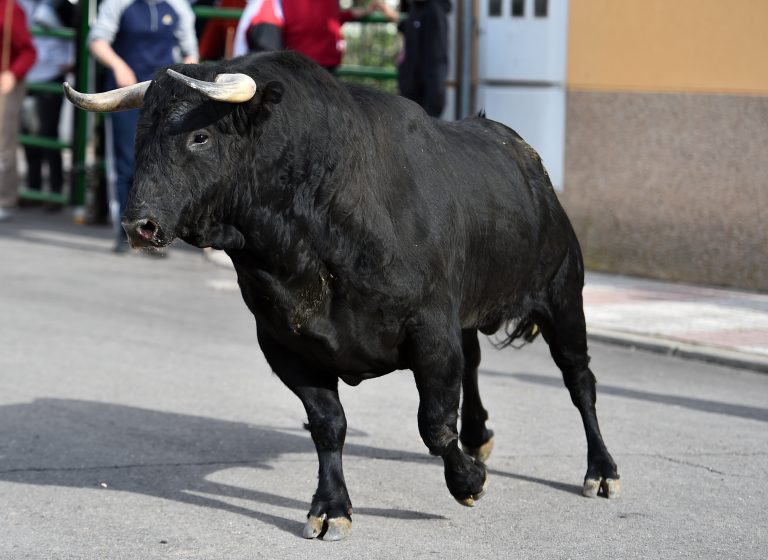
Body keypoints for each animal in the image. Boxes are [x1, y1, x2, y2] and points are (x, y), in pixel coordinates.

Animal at [64, 51, 620, 541]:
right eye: (140, 137)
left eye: (199, 136)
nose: (138, 226)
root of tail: (524, 155)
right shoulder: (286, 344)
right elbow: (328, 425)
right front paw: (331, 508)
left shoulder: (430, 331)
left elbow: (434, 423)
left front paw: (468, 482)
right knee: (478, 365)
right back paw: (480, 438)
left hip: (562, 297)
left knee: (580, 381)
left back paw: (601, 469)